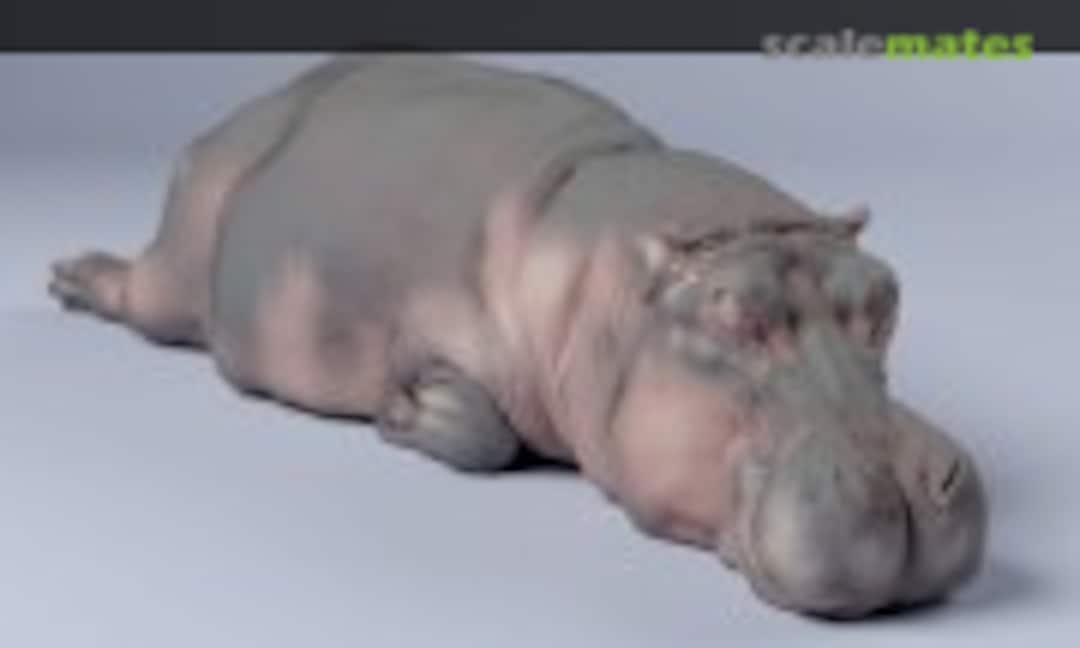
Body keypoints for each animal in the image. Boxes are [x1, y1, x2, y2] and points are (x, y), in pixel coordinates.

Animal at [47, 55, 986, 618]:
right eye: (732, 314)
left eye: (885, 298)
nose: (902, 488)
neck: (612, 289)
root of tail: (262, 101)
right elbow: (482, 432)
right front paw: (409, 409)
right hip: (180, 264)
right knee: (145, 293)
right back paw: (72, 276)